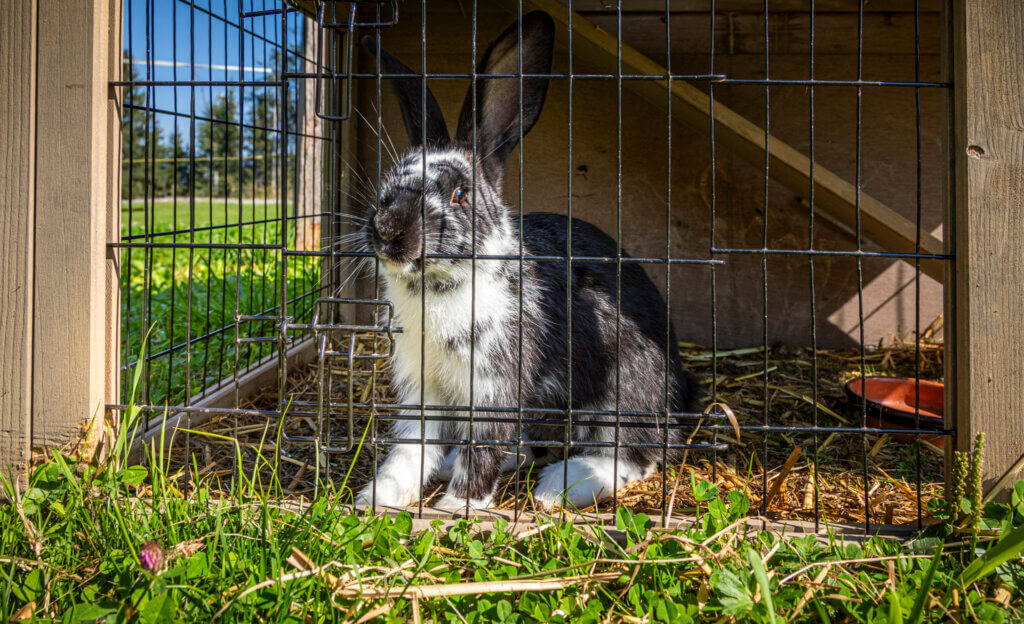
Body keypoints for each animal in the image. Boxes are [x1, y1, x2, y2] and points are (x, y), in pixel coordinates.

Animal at [352, 9, 696, 508]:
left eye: (459, 195)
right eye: (389, 183)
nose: (388, 231)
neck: (440, 285)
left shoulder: (496, 386)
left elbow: (483, 448)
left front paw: (456, 507)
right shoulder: (424, 388)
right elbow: (410, 449)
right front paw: (377, 498)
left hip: (625, 391)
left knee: (637, 453)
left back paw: (559, 486)